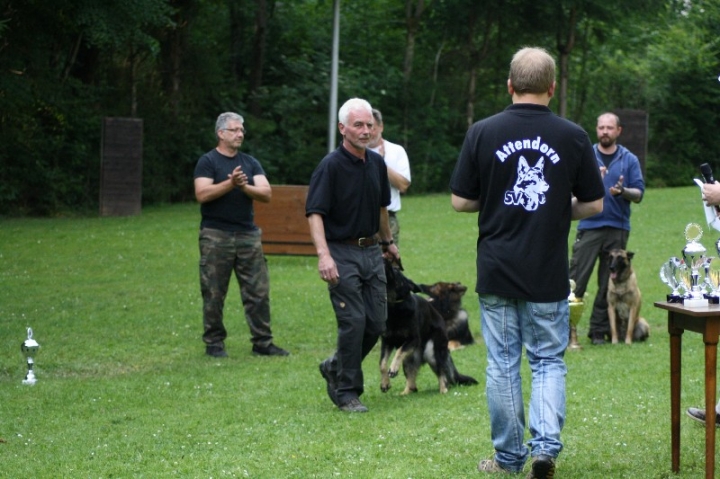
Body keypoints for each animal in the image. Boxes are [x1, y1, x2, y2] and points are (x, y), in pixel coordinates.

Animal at [382, 260, 478, 396]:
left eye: (396, 270)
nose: (385, 260)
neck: (396, 307)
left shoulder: (412, 339)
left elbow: (399, 351)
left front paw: (393, 368)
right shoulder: (387, 342)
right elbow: (382, 364)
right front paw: (385, 382)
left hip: (431, 352)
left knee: (442, 373)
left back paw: (443, 389)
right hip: (410, 357)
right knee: (413, 383)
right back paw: (405, 392)